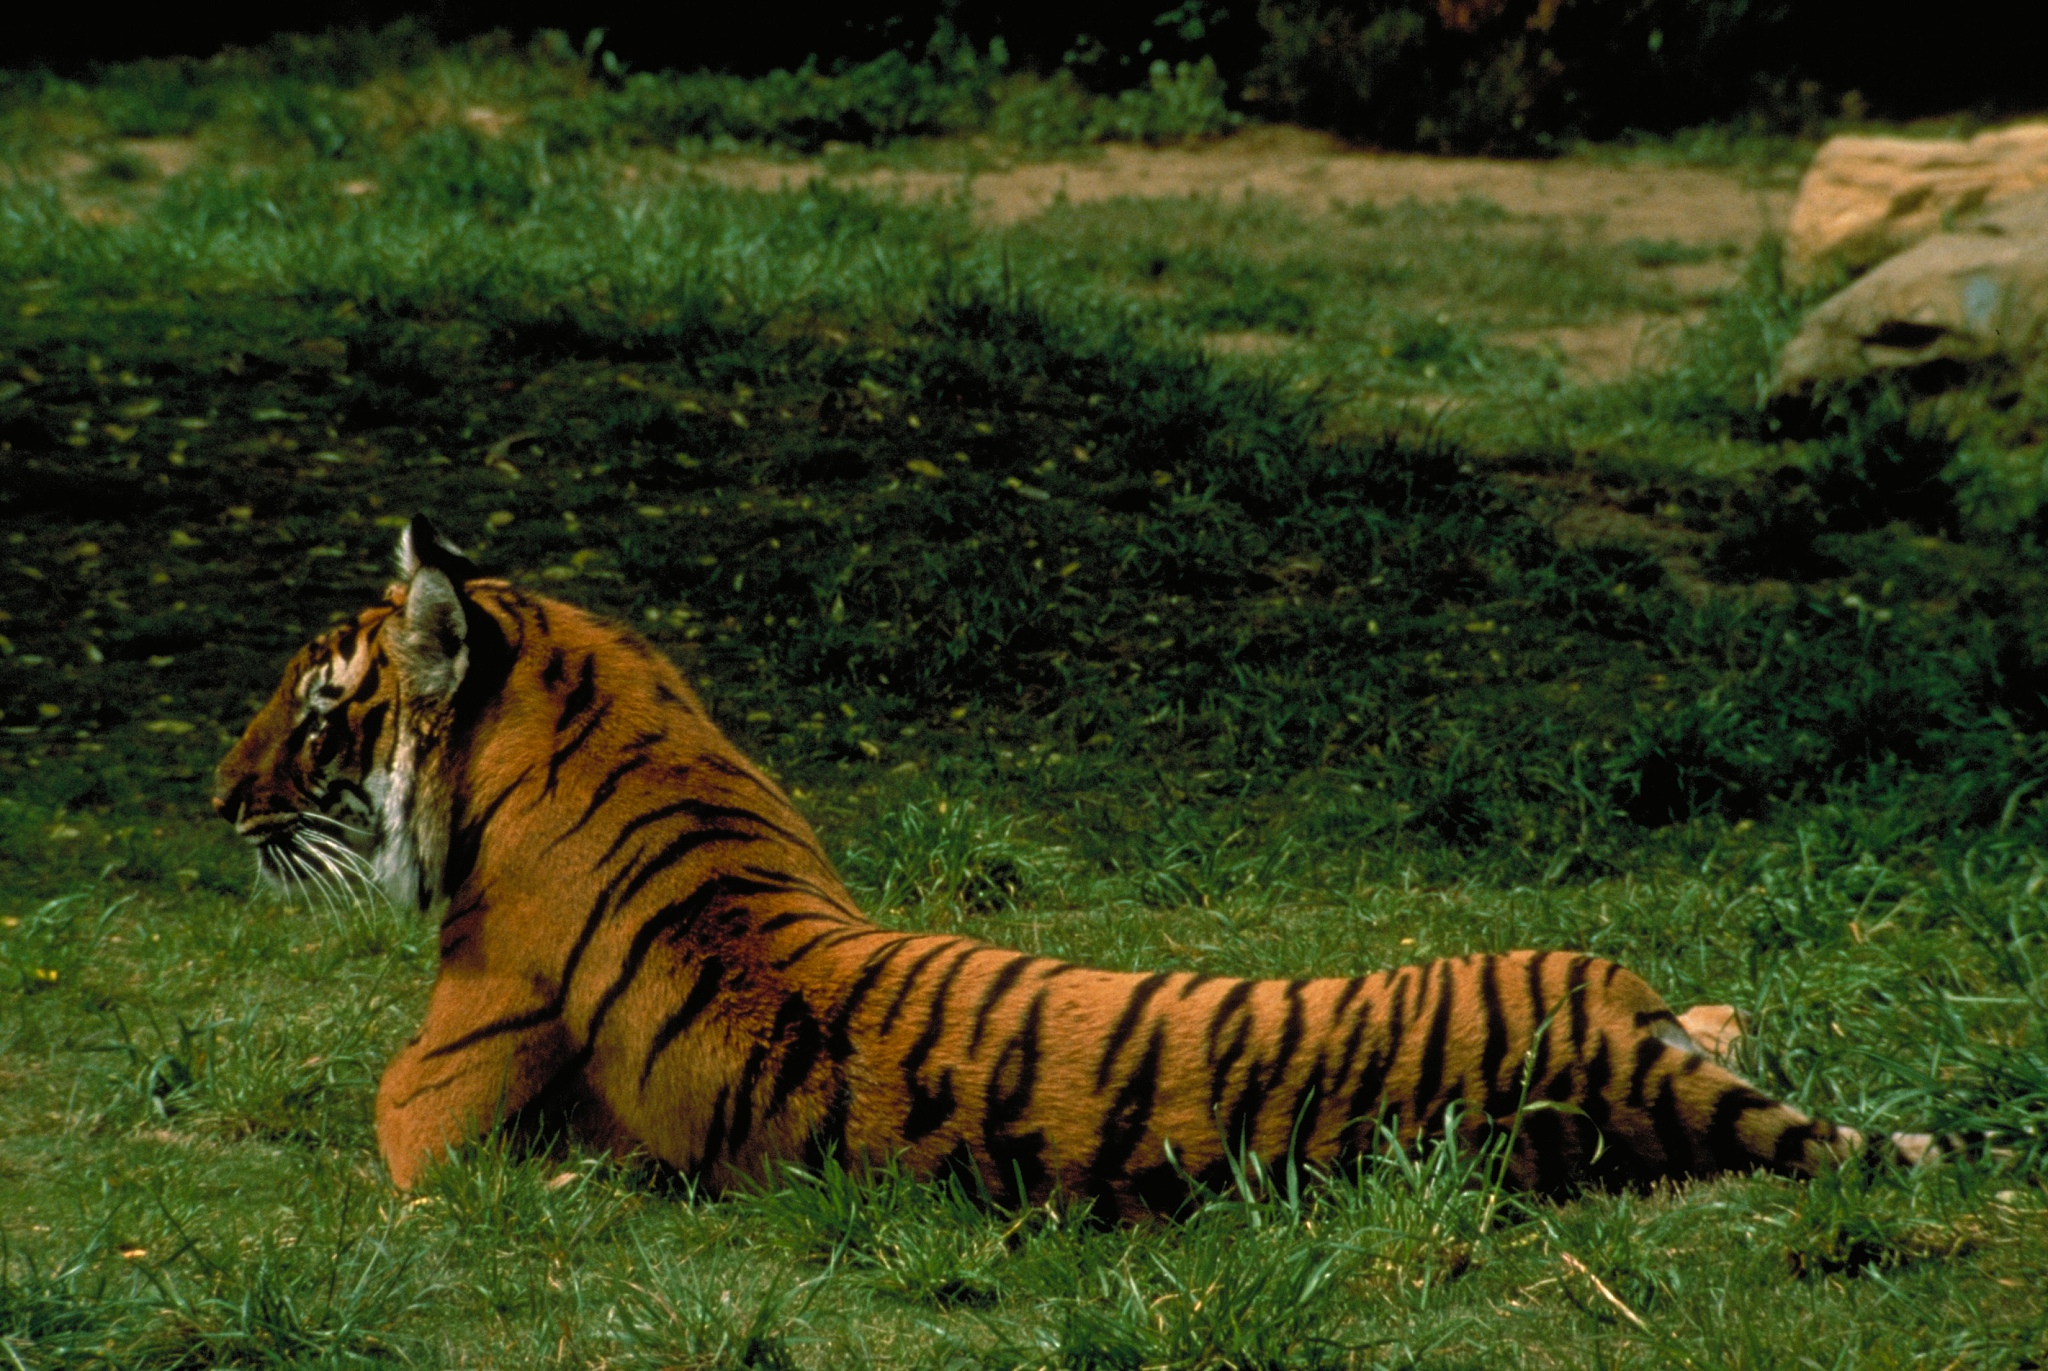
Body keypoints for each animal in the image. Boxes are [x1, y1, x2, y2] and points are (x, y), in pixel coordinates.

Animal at [212, 517, 1923, 1210]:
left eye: (315, 703)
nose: (214, 795)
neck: (605, 710)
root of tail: (1596, 1049)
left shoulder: (422, 1114)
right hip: (1601, 974)